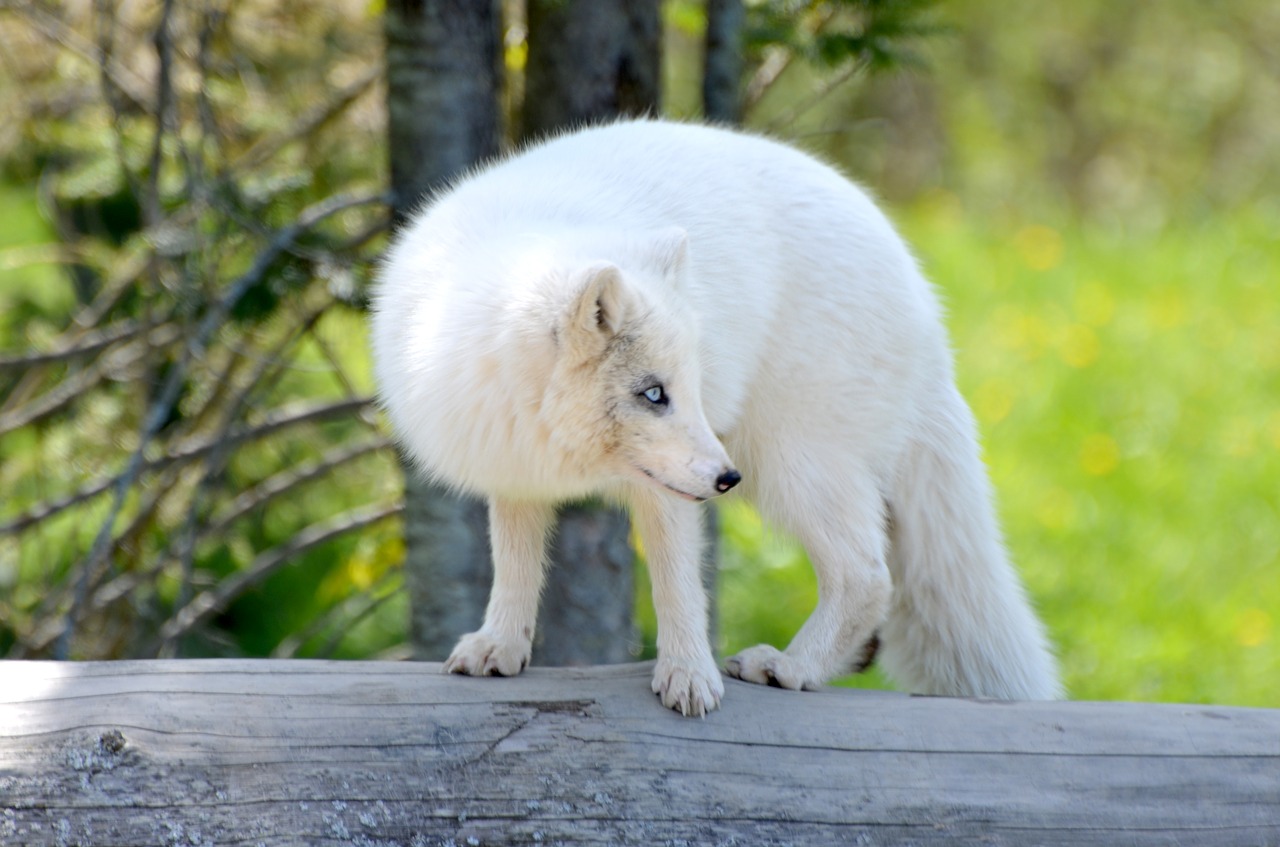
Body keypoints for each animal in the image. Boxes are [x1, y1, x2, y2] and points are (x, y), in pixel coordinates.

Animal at [371, 117, 1059, 716]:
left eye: (690, 389)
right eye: (654, 393)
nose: (727, 481)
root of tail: (927, 308)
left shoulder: (670, 489)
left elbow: (679, 586)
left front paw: (686, 676)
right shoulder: (514, 465)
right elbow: (515, 566)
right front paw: (501, 646)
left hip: (790, 462)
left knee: (868, 575)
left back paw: (791, 668)